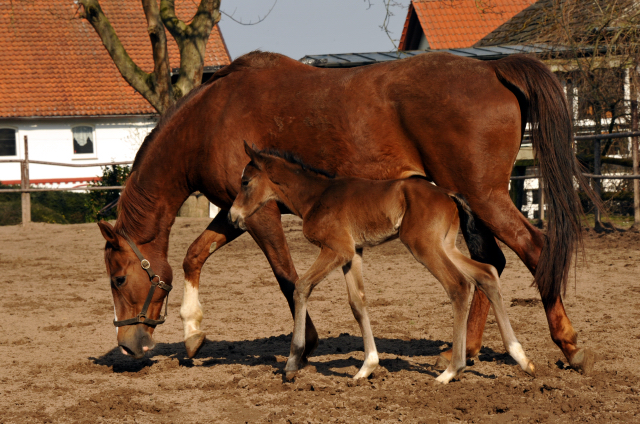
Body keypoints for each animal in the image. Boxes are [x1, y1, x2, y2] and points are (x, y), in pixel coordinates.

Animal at [230, 144, 536, 382]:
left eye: (245, 182)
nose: (233, 215)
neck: (315, 197)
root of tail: (447, 193)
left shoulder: (336, 249)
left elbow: (301, 286)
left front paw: (293, 362)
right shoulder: (353, 253)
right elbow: (357, 302)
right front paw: (367, 366)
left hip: (423, 245)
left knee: (459, 285)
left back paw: (452, 370)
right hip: (445, 245)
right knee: (486, 274)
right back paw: (521, 358)